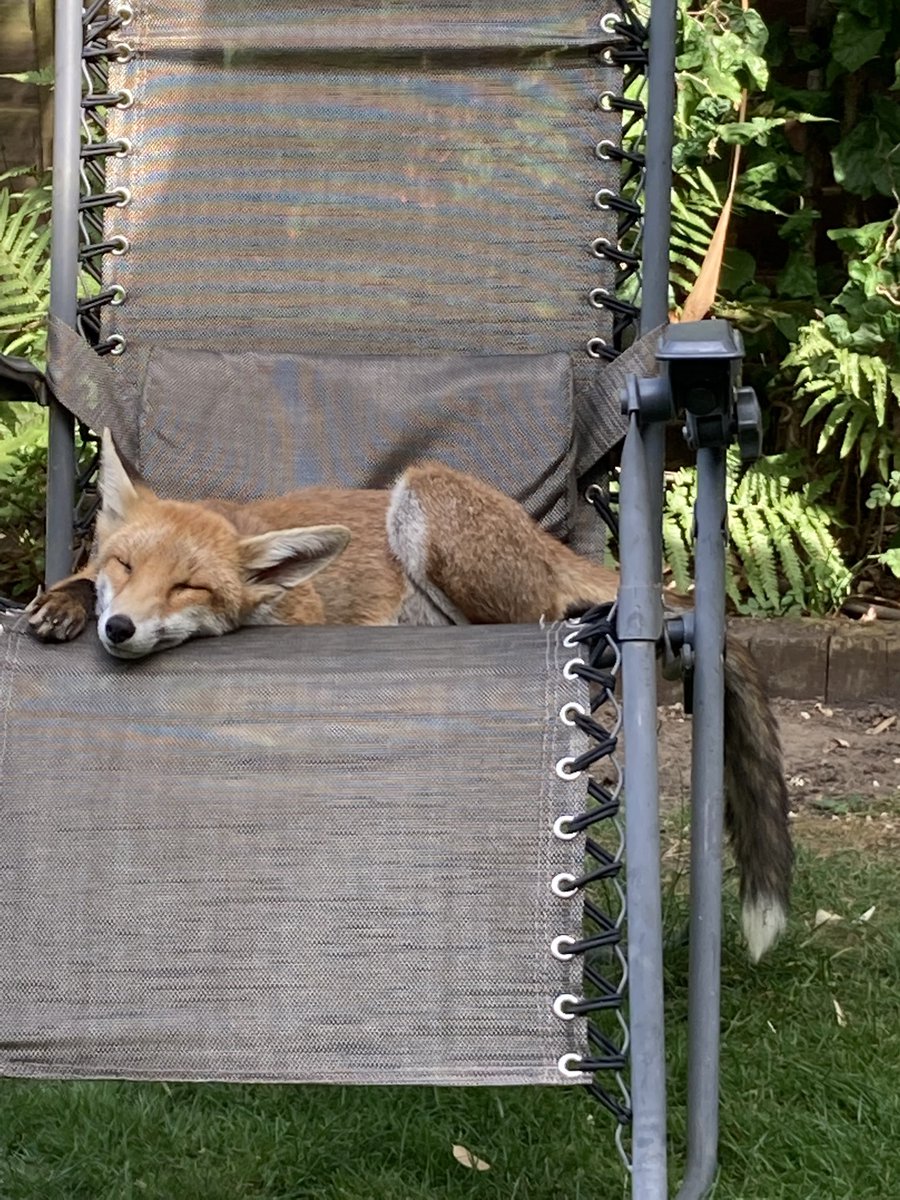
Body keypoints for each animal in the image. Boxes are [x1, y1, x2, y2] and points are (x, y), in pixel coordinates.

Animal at [28, 429, 792, 960]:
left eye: (188, 587)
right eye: (124, 566)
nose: (121, 629)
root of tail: (543, 539)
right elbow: (74, 582)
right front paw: (62, 604)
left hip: (426, 503)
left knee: (532, 620)